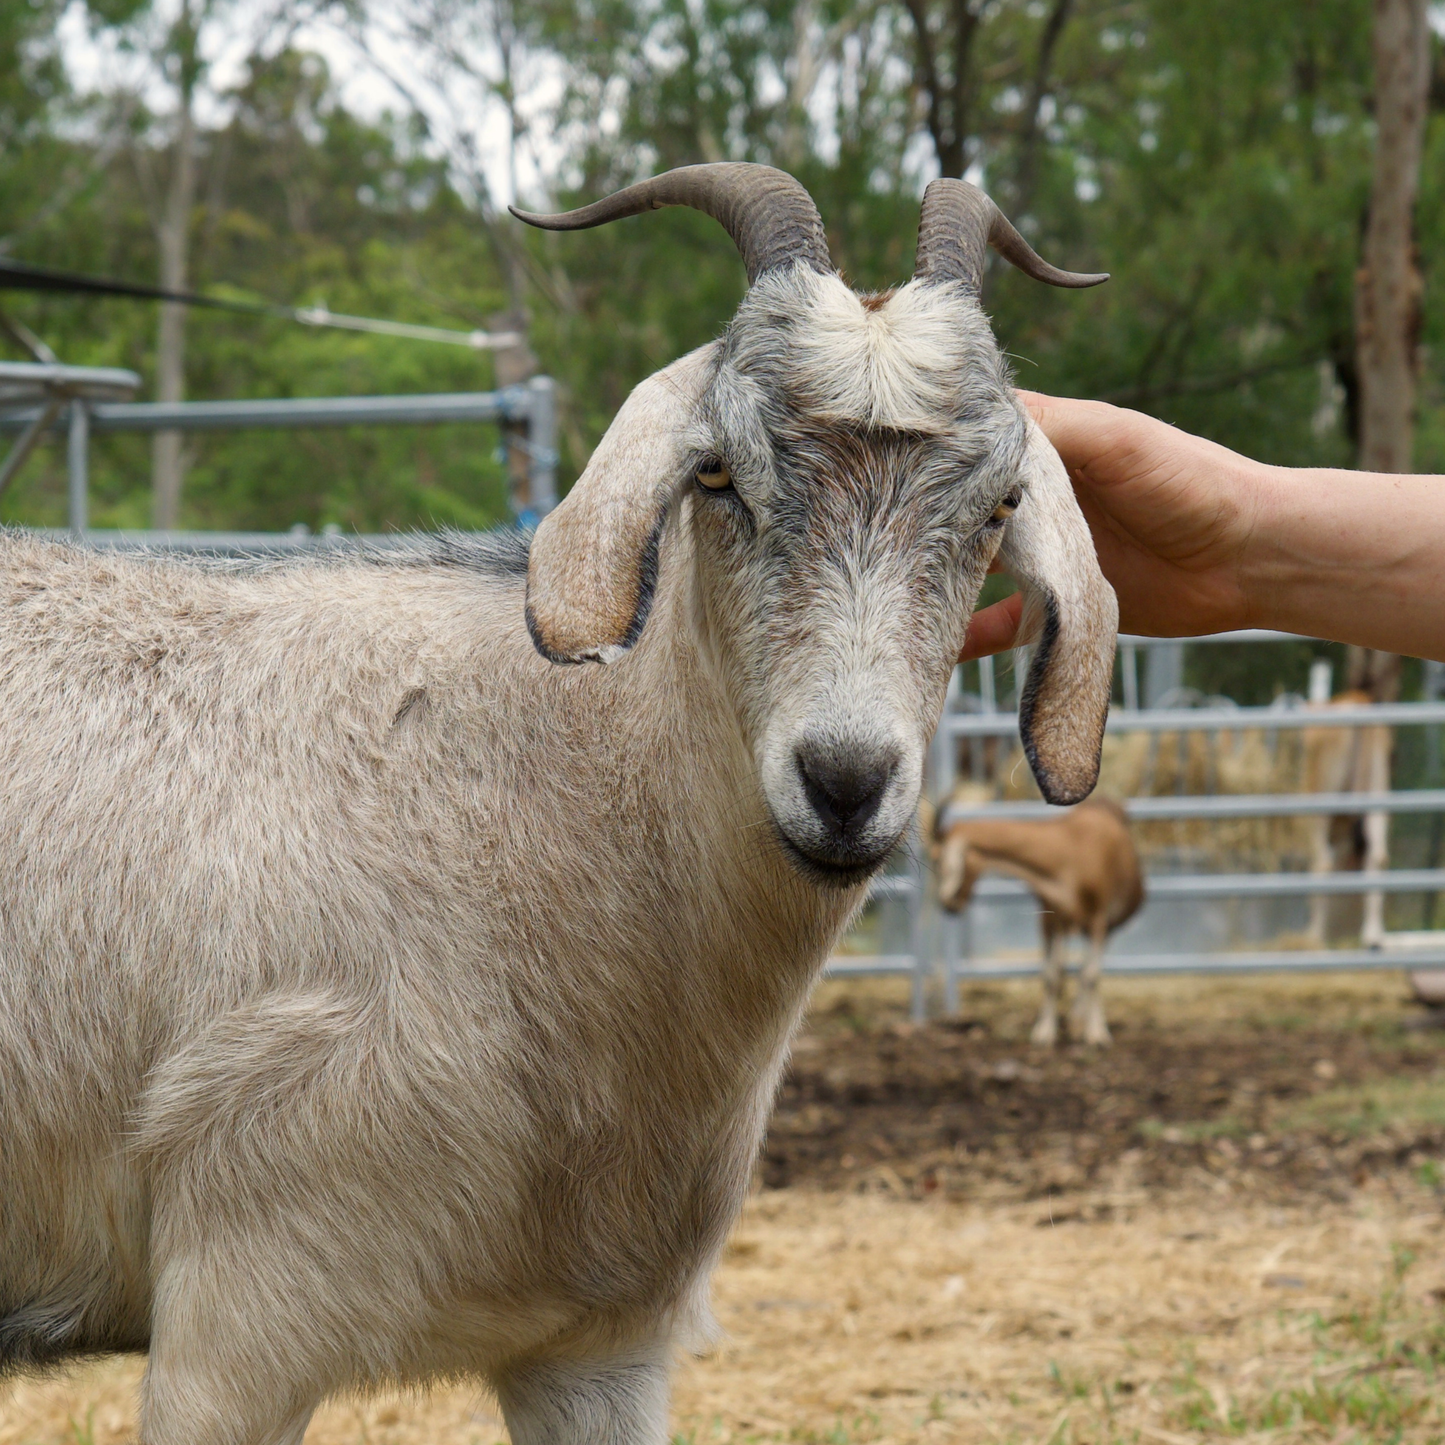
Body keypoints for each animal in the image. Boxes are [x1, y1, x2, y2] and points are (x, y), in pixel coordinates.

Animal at [934, 798, 1142, 1046]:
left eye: (942, 863)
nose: (947, 904)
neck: (1069, 851)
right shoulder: (1050, 921)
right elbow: (1051, 976)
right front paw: (1044, 1031)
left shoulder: (1097, 921)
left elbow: (1090, 976)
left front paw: (1096, 1033)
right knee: (1066, 968)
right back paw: (1074, 1021)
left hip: (1106, 928)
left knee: (1089, 972)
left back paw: (1084, 1022)